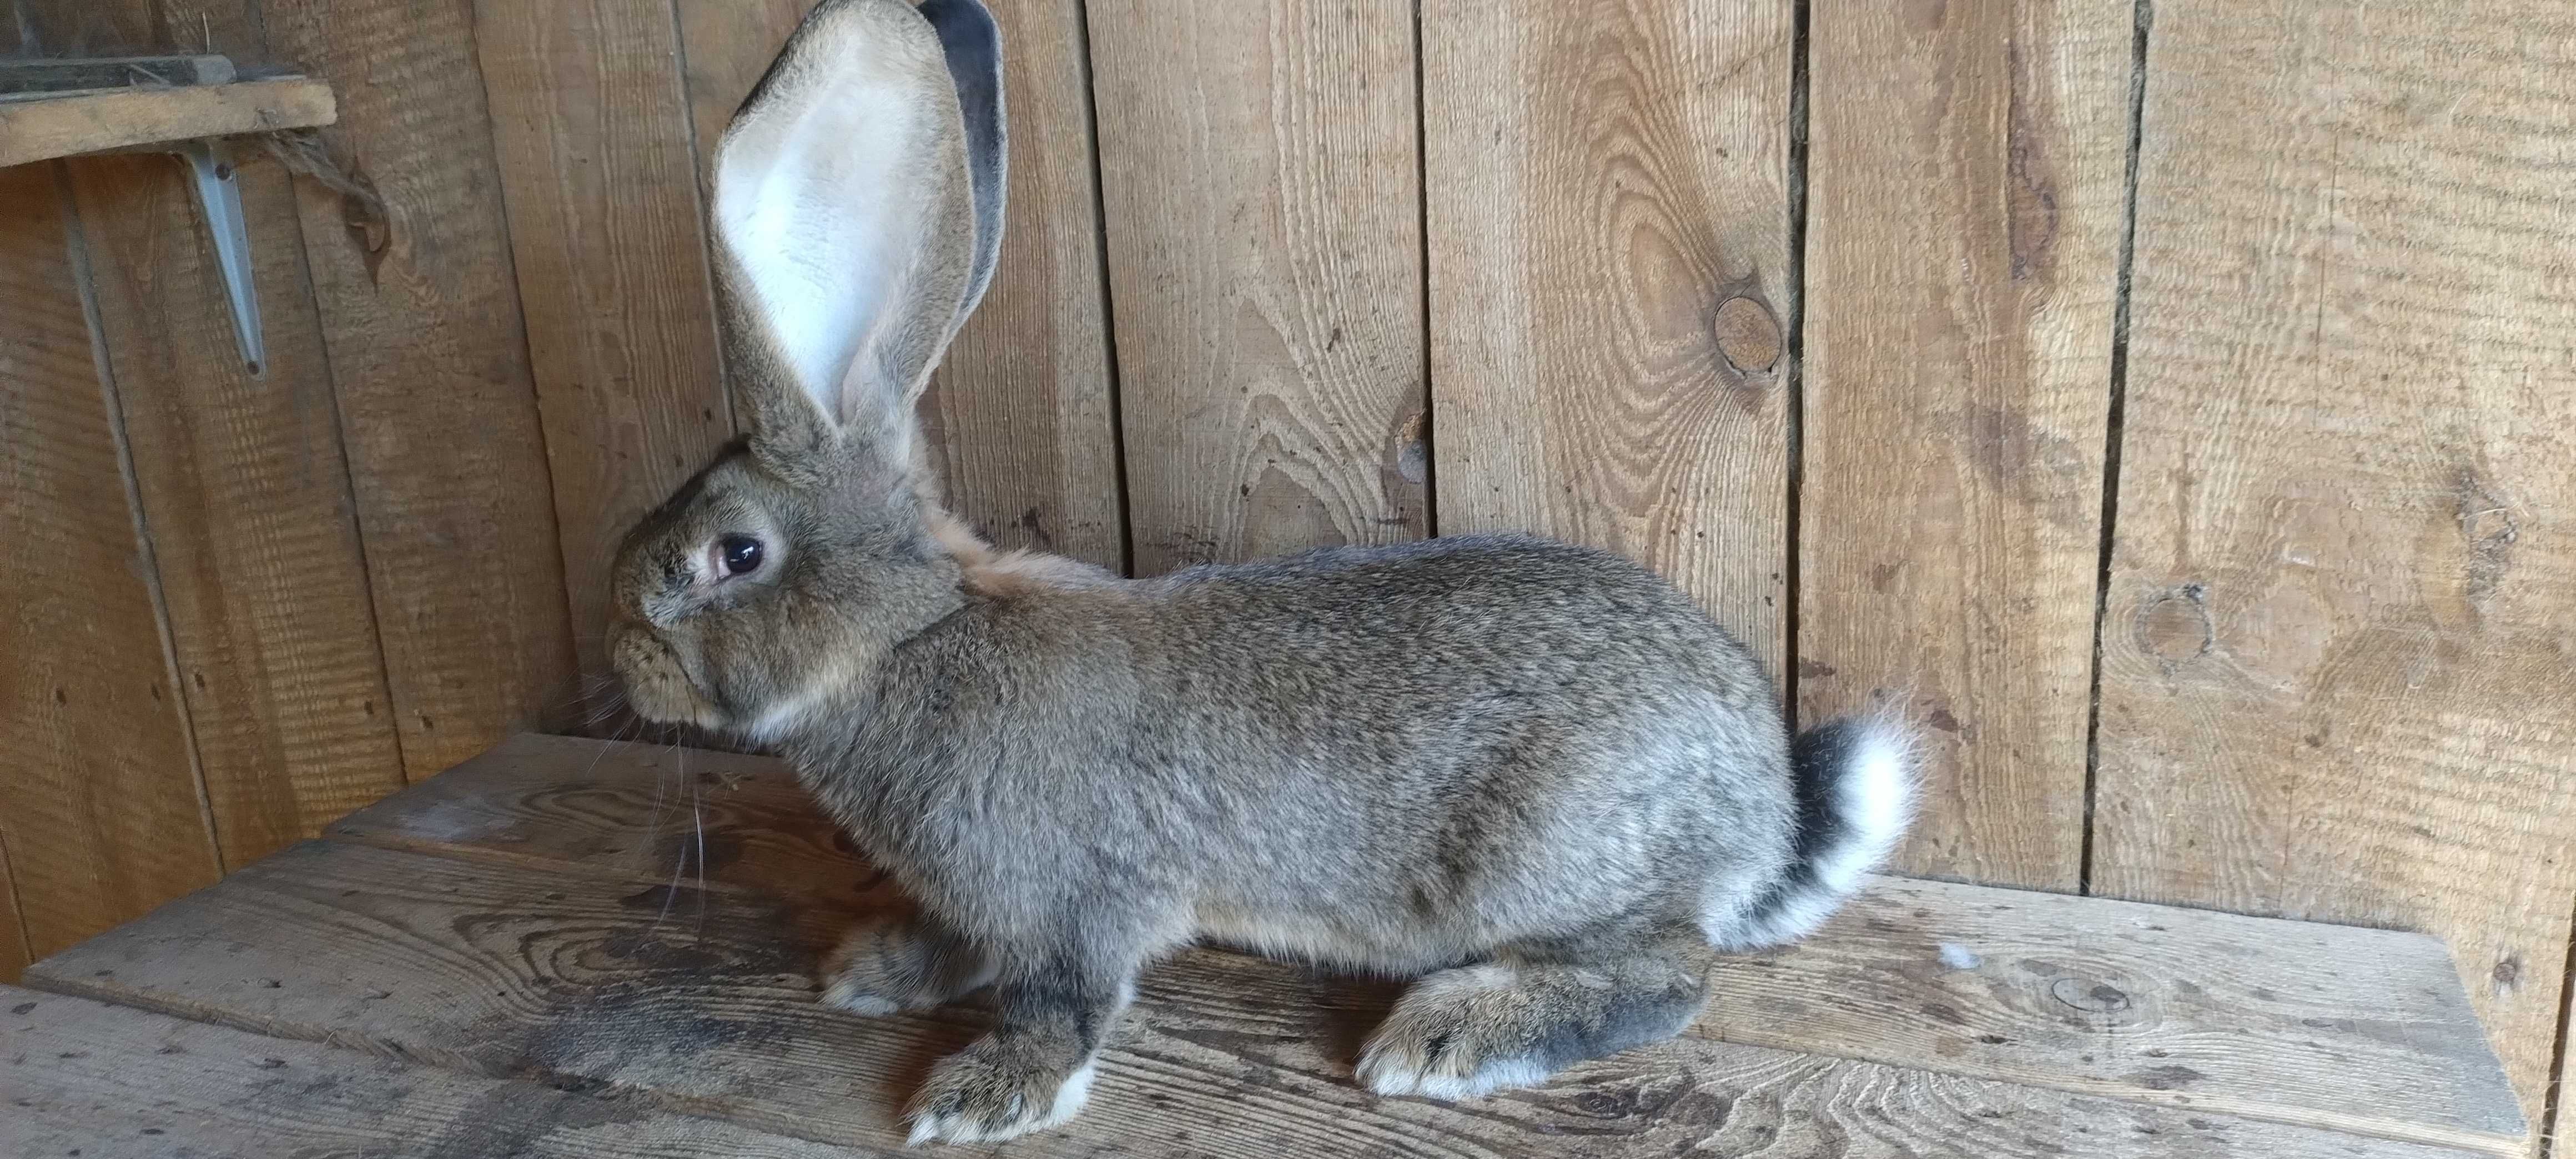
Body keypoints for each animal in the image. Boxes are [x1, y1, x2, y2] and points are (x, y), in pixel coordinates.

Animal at [608, 0, 1916, 1138]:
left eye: (735, 553)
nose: (623, 651)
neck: (908, 636)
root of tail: (1767, 812)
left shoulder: (1073, 905)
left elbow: (1059, 1000)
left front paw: (982, 1096)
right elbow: (964, 946)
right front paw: (876, 967)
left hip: (1545, 864)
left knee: (1671, 970)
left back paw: (1449, 1036)